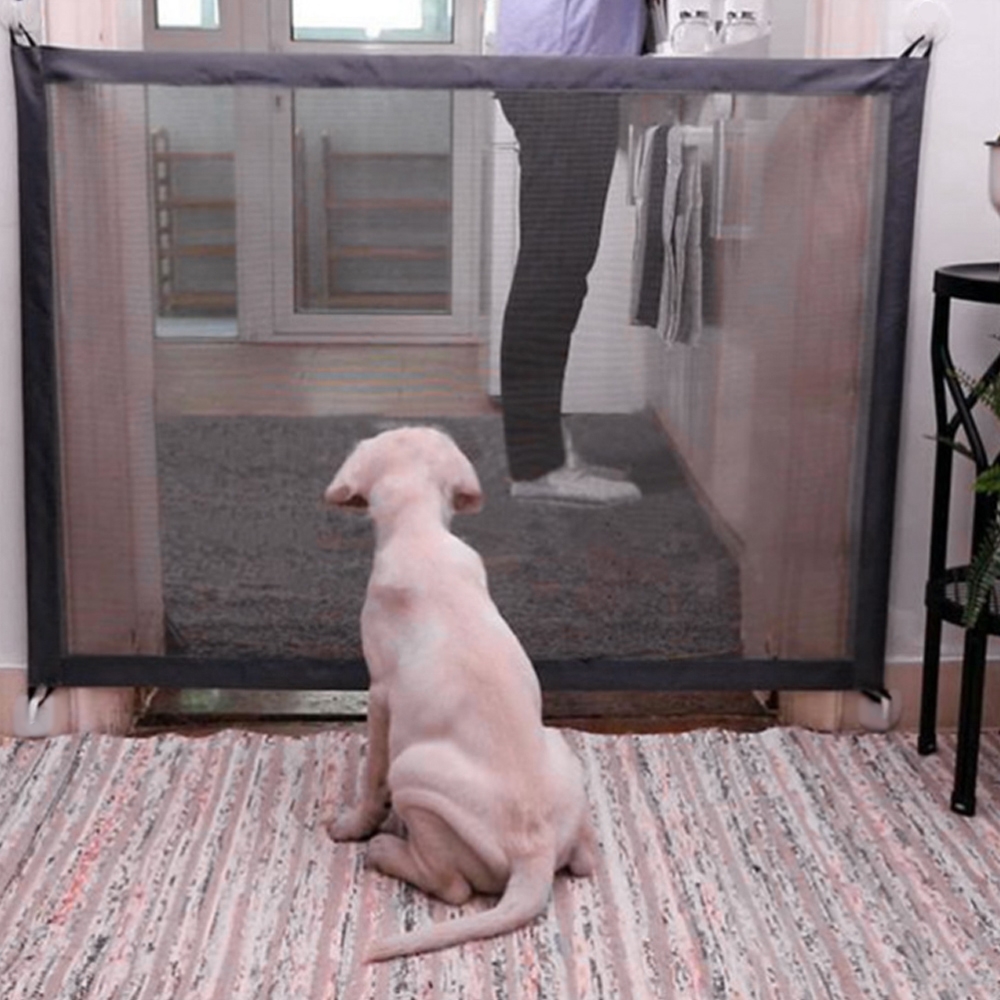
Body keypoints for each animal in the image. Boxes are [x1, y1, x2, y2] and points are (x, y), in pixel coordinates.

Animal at [323, 426, 596, 963]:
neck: (420, 533)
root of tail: (533, 855)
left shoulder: (379, 694)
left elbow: (371, 778)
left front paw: (355, 825)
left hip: (415, 779)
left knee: (453, 887)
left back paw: (385, 850)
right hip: (557, 745)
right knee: (583, 861)